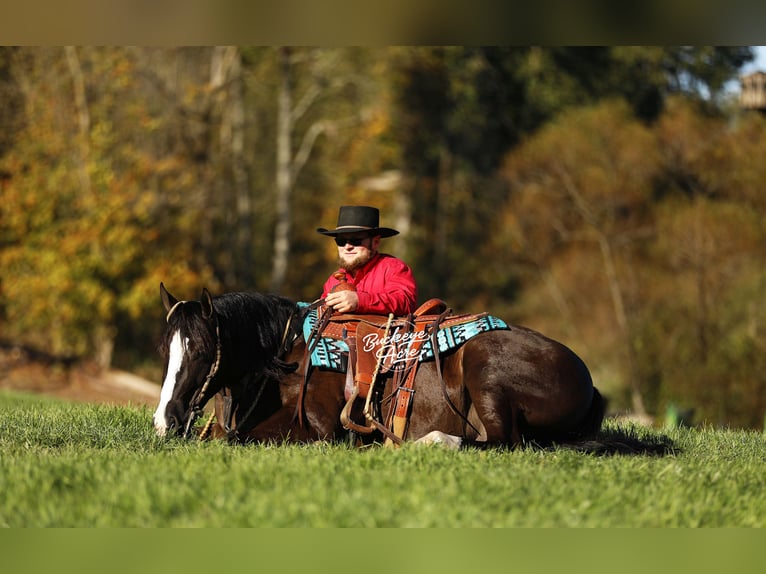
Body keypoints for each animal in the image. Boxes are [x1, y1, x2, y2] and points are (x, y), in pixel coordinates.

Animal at [153, 282, 612, 450]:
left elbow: (236, 439)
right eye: (165, 351)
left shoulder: (322, 430)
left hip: (486, 371)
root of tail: (587, 379)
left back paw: (435, 441)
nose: (163, 420)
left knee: (502, 441)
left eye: (199, 350)